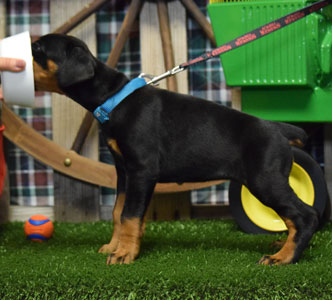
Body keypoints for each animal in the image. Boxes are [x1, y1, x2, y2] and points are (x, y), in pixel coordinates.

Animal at [31, 34, 320, 266]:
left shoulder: (142, 169)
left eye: (37, 49)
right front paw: (115, 246)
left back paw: (283, 257)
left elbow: (129, 215)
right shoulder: (124, 171)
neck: (114, 99)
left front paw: (124, 253)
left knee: (306, 215)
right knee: (294, 217)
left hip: (264, 180)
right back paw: (282, 245)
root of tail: (278, 128)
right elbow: (117, 212)